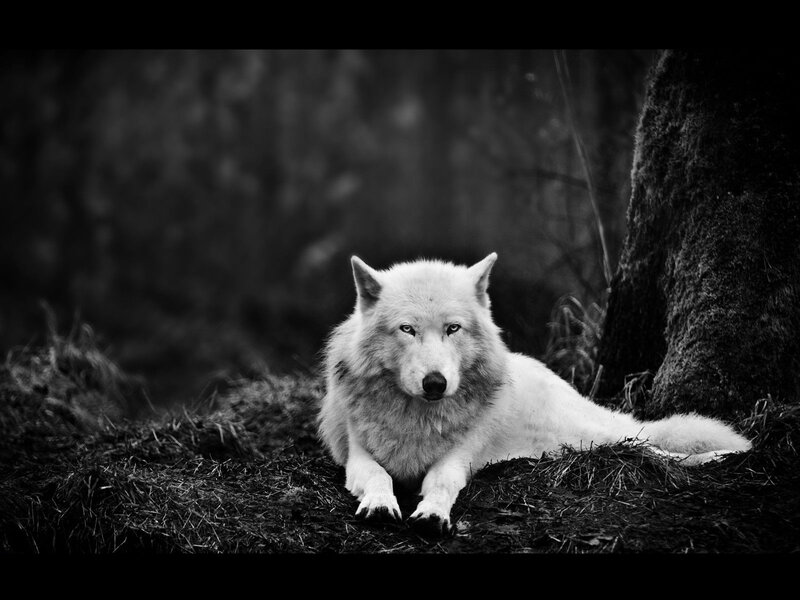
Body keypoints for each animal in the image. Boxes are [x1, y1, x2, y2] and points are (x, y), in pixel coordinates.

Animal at [318, 253, 752, 535]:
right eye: (407, 329)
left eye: (453, 329)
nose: (435, 383)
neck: (418, 418)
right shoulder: (357, 455)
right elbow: (378, 475)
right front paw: (380, 503)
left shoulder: (458, 458)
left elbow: (441, 482)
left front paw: (433, 515)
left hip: (596, 437)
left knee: (652, 446)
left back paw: (724, 455)